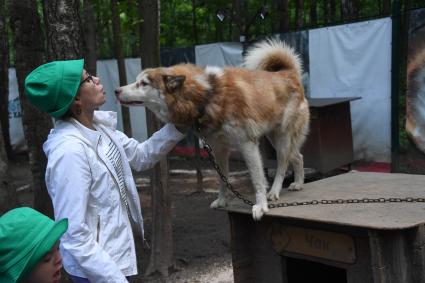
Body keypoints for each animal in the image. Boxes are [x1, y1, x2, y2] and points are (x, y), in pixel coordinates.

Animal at [114, 39, 310, 222]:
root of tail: (288, 73)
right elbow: (223, 179)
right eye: (137, 81)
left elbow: (257, 179)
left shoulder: (248, 145)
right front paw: (222, 201)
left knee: (282, 165)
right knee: (298, 157)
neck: (206, 96)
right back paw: (298, 184)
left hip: (282, 139)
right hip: (274, 139)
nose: (117, 90)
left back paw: (275, 192)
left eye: (143, 83)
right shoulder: (219, 149)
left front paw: (260, 206)